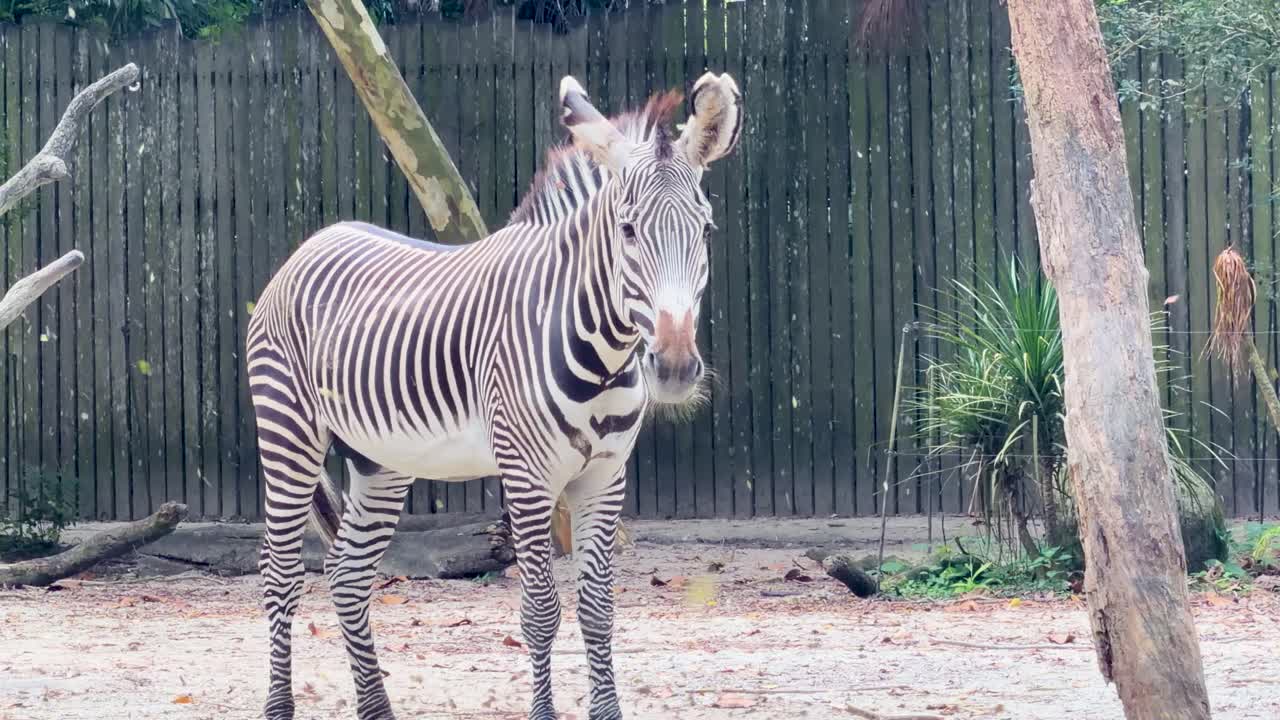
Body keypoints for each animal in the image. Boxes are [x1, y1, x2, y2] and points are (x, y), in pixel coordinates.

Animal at [246, 71, 742, 720]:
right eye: (628, 230)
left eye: (705, 230)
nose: (676, 367)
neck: (603, 355)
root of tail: (315, 241)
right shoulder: (528, 479)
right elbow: (541, 611)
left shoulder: (605, 478)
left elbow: (598, 610)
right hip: (289, 432)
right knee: (280, 574)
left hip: (381, 460)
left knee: (346, 574)